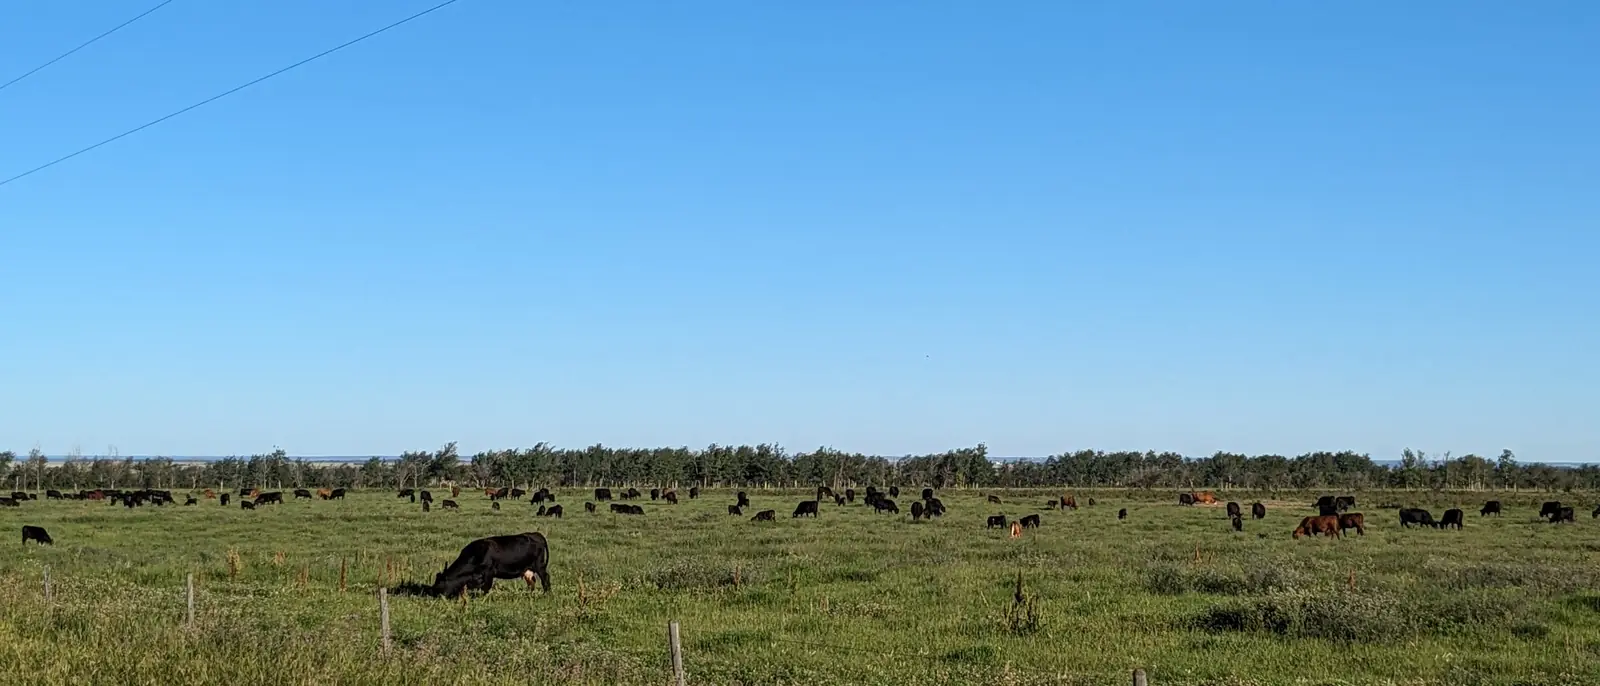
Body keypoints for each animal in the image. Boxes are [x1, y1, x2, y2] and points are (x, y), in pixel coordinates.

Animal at [417, 532, 551, 597]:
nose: (431, 593)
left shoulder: (489, 572)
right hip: (528, 570)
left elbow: (486, 587)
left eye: (440, 584)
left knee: (545, 578)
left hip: (539, 566)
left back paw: (546, 594)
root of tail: (537, 535)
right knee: (532, 581)